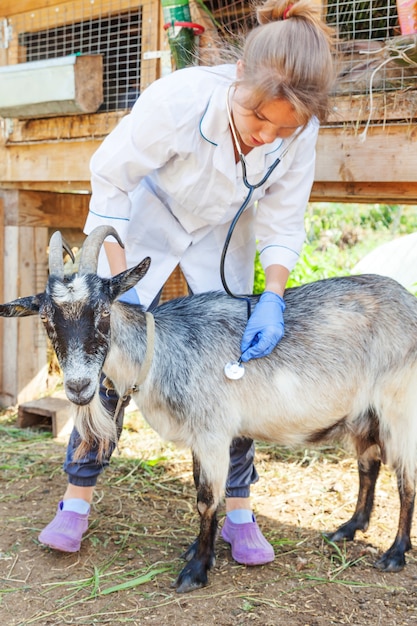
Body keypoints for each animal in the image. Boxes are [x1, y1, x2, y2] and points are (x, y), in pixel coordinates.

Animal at [2, 224, 416, 588]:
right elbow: (202, 491)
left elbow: (206, 500)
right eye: (46, 318)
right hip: (364, 414)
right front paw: (199, 552)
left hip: (399, 409)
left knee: (405, 478)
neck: (161, 352)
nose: (77, 386)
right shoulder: (199, 438)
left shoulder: (213, 432)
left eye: (103, 310)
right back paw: (349, 528)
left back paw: (395, 554)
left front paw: (195, 570)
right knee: (369, 464)